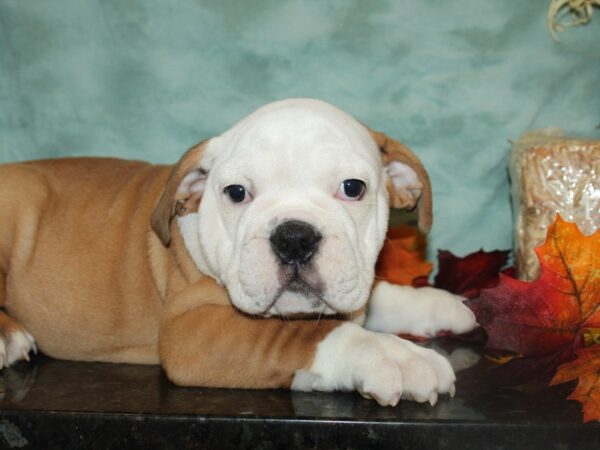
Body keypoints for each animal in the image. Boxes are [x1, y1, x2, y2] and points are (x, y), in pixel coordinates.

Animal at [1, 99, 478, 408]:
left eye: (353, 188)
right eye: (235, 193)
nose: (294, 237)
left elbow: (377, 298)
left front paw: (442, 305)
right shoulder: (192, 332)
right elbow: (307, 336)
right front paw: (397, 357)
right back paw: (9, 336)